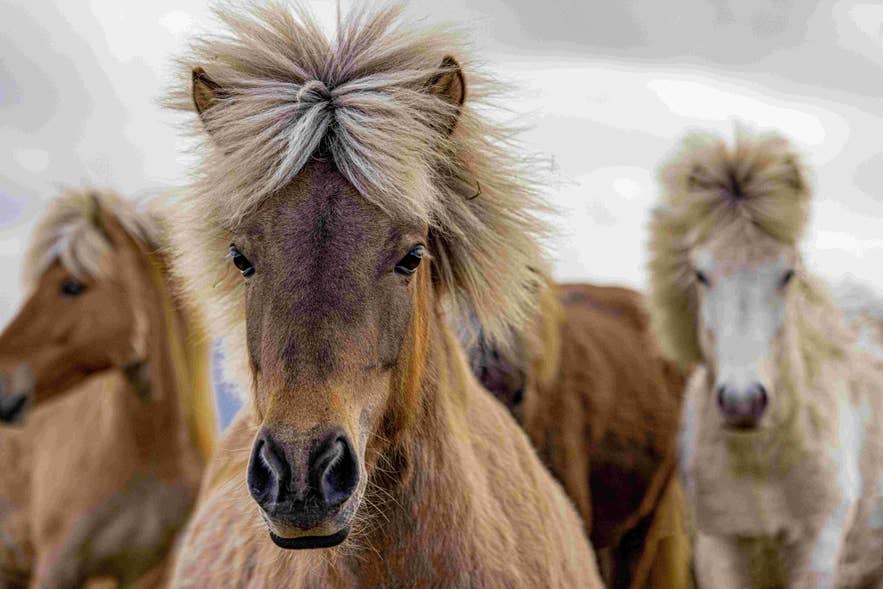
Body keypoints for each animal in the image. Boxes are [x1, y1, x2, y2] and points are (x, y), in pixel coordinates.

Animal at [647, 129, 883, 588]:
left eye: (788, 273)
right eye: (700, 273)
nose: (743, 402)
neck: (762, 462)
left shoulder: (818, 552)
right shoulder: (717, 550)